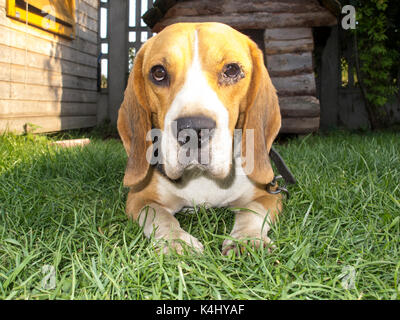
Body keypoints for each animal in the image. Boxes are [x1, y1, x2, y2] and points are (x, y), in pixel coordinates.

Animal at [117, 22, 282, 255]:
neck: (201, 177)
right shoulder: (140, 198)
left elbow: (252, 211)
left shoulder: (269, 195)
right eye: (158, 72)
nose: (192, 130)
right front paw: (175, 242)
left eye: (232, 69)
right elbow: (160, 217)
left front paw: (247, 239)